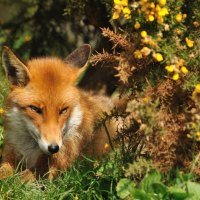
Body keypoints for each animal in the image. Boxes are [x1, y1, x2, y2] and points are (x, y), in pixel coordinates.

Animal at [0, 45, 116, 181]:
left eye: (63, 110)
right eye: (35, 109)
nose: (54, 148)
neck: (29, 151)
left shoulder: (56, 166)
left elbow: (19, 180)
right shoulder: (9, 154)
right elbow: (4, 173)